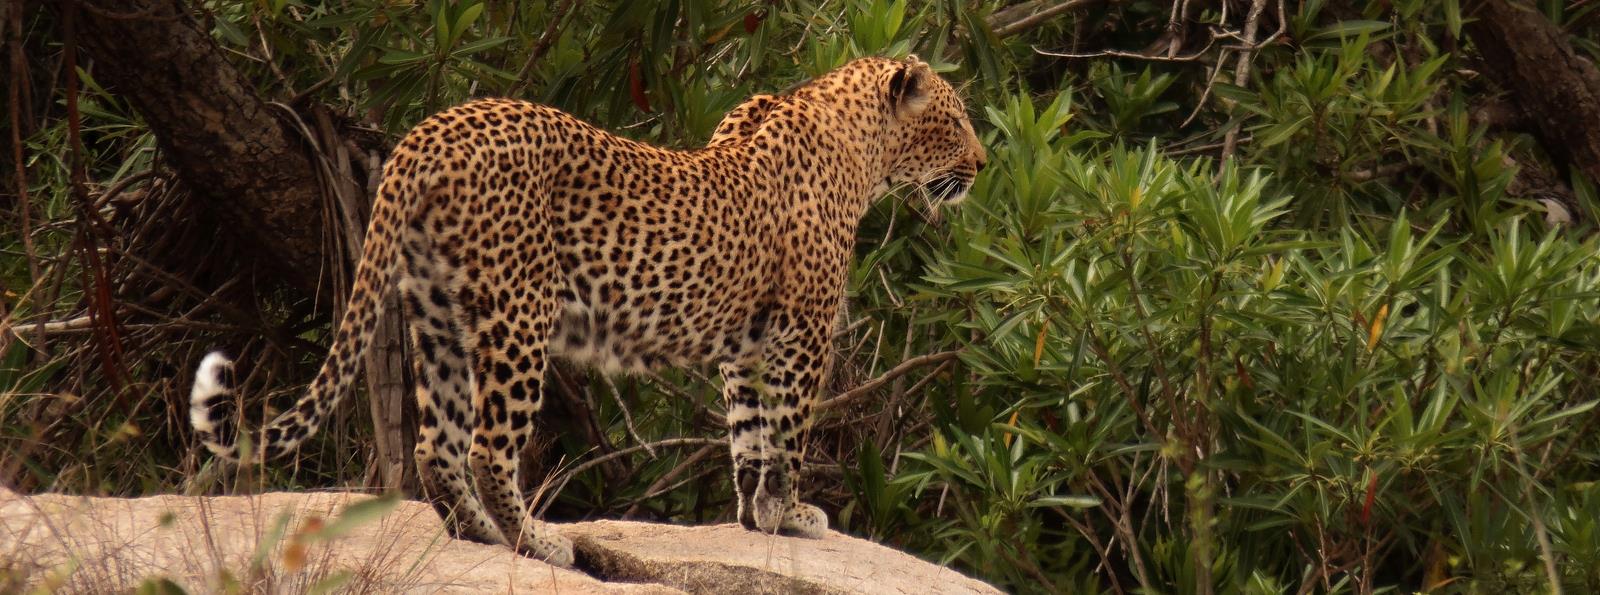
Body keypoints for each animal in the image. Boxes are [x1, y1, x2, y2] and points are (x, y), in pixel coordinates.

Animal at [187, 55, 985, 566]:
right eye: (954, 121)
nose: (981, 165)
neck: (862, 148)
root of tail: (430, 131)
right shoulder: (803, 334)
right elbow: (787, 438)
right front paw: (788, 514)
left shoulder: (748, 345)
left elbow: (750, 435)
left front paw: (753, 518)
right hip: (518, 314)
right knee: (487, 447)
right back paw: (540, 542)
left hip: (438, 315)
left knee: (435, 444)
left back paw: (480, 535)